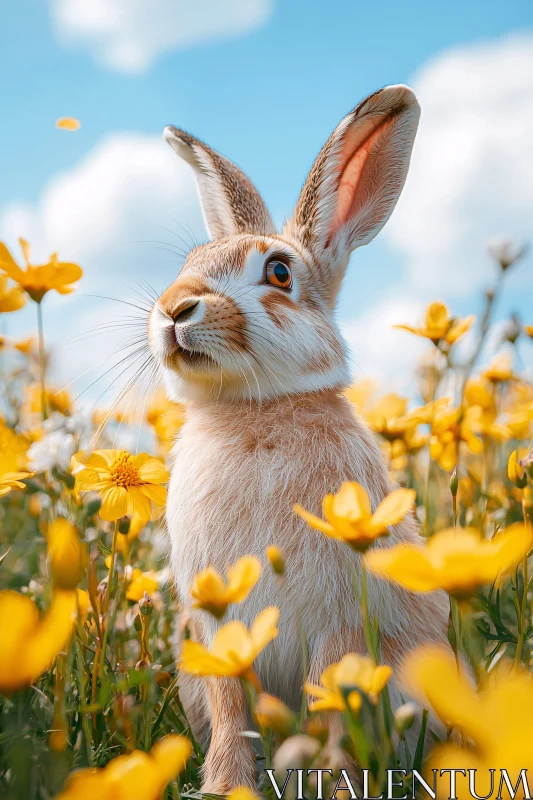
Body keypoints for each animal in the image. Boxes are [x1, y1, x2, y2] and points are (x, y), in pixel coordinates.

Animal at [149, 84, 448, 796]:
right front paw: (226, 786)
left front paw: (335, 786)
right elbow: (232, 710)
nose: (173, 308)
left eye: (280, 273)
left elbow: (330, 700)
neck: (254, 414)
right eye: (188, 265)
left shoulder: (338, 622)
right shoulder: (215, 625)